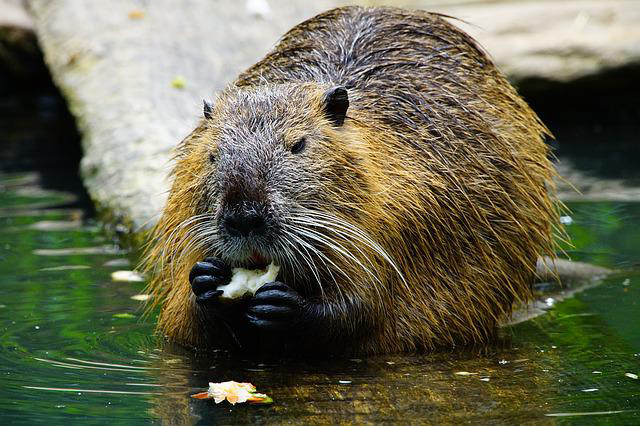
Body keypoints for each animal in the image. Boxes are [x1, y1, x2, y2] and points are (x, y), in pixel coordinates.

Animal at [144, 5, 560, 356]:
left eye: (298, 144)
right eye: (213, 153)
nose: (244, 217)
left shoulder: (406, 213)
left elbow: (368, 306)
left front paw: (284, 305)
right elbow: (183, 325)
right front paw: (205, 280)